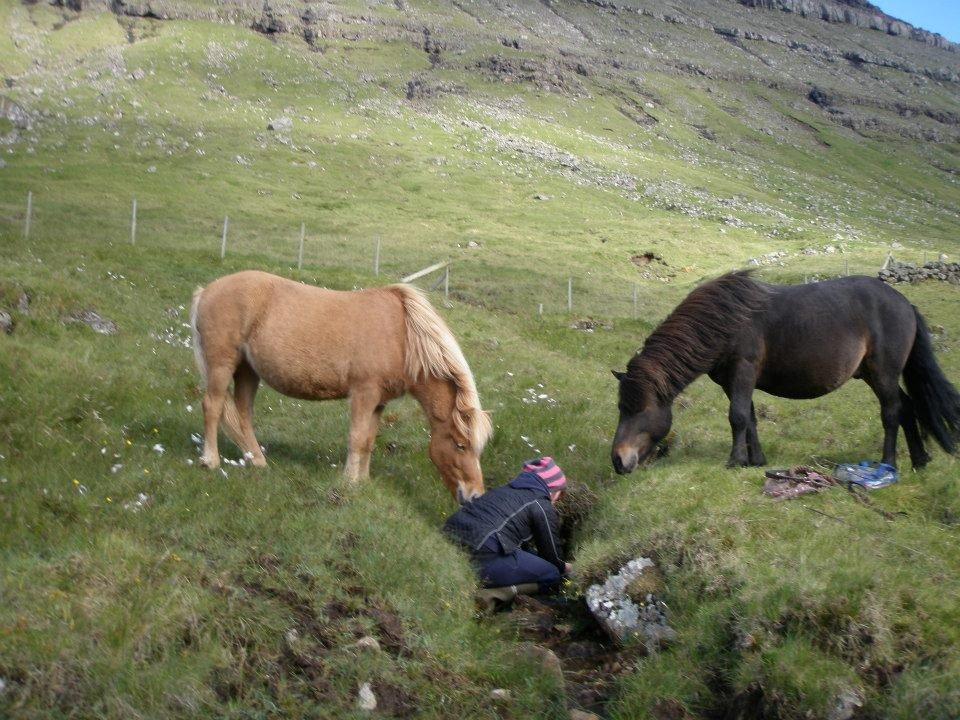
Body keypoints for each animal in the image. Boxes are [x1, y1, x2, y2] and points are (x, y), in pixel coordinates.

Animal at [195, 270, 496, 500]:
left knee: (243, 413)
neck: (404, 336)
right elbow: (357, 438)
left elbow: (368, 441)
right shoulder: (364, 394)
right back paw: (210, 461)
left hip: (248, 371)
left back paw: (257, 461)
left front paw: (362, 481)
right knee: (213, 406)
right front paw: (349, 482)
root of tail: (207, 290)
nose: (475, 495)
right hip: (222, 364)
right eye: (460, 445)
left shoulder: (379, 401)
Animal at [612, 270, 960, 472]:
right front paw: (755, 461)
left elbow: (737, 416)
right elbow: (749, 418)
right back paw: (919, 461)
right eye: (620, 408)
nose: (617, 460)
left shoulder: (743, 371)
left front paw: (735, 461)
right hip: (875, 375)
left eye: (639, 410)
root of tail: (905, 304)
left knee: (892, 412)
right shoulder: (732, 381)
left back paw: (888, 464)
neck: (727, 320)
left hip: (883, 373)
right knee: (908, 407)